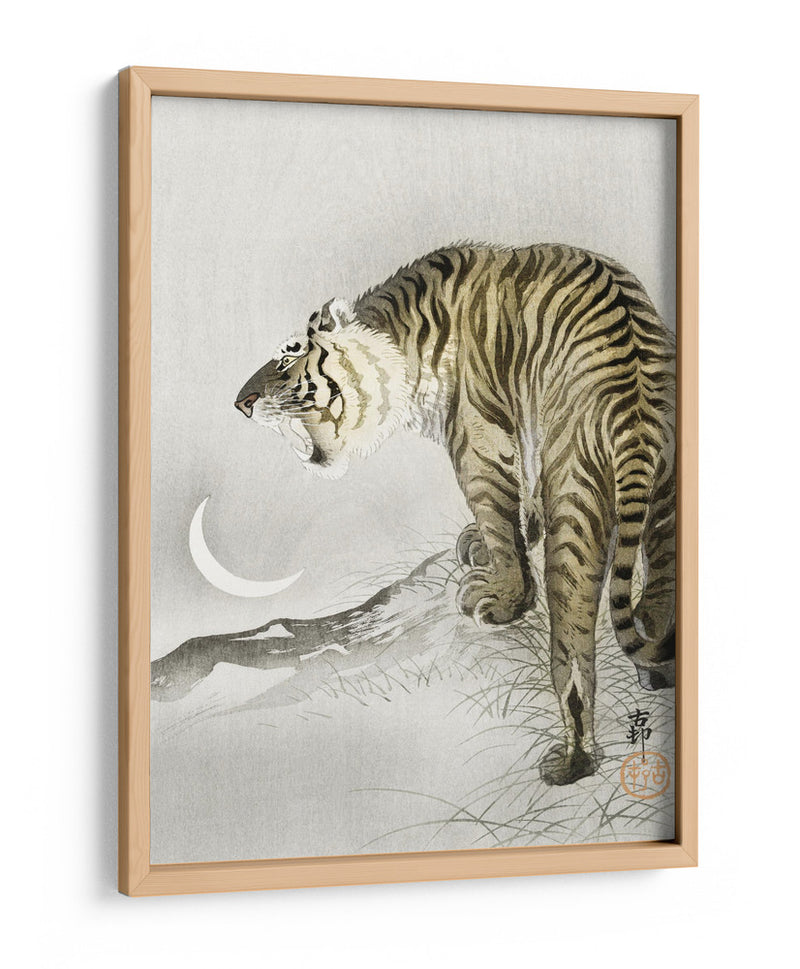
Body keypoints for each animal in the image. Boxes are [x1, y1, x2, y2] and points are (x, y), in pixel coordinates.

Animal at [235, 243, 676, 786]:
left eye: (288, 355)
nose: (241, 402)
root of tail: (637, 404)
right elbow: (520, 505)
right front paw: (491, 542)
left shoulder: (477, 438)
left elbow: (497, 515)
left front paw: (502, 597)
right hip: (666, 499)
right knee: (658, 595)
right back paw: (658, 670)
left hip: (577, 500)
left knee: (573, 651)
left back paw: (572, 761)